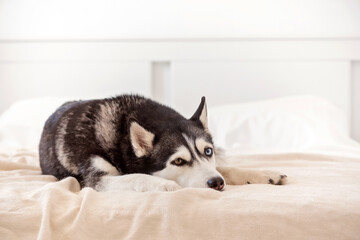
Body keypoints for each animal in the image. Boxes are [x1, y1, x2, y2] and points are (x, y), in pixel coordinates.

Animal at [39, 95, 286, 191]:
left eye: (208, 151)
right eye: (178, 161)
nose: (216, 183)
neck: (121, 135)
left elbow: (228, 169)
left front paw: (263, 174)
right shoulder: (96, 179)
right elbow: (136, 177)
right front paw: (167, 185)